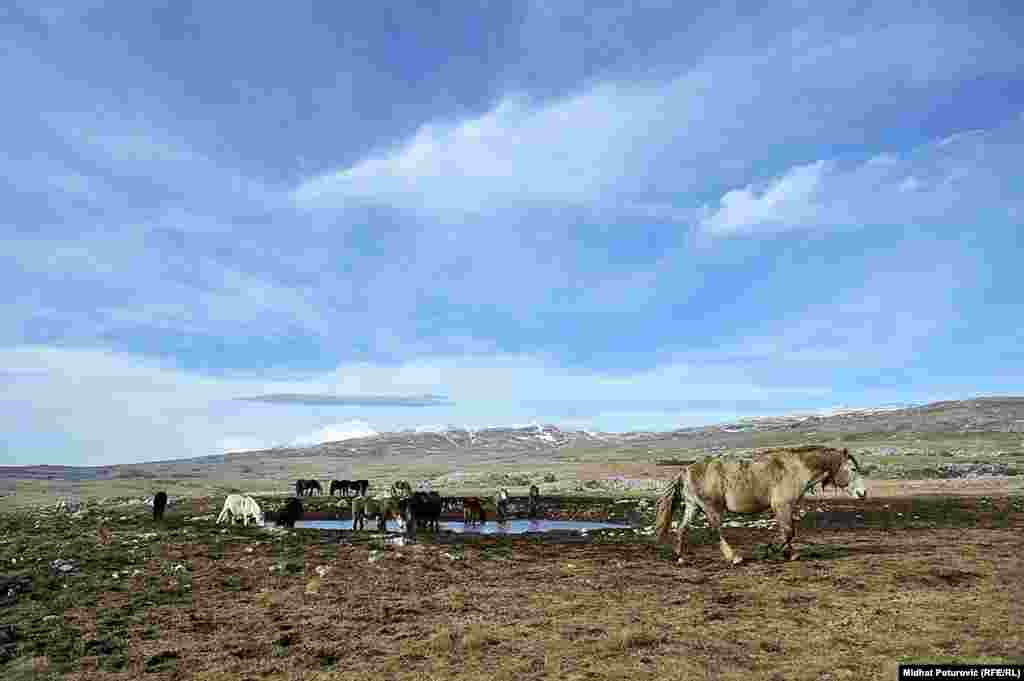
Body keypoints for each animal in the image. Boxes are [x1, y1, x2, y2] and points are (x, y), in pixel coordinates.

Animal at [655, 446, 864, 561]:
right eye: (853, 469)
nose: (863, 493)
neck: (796, 469)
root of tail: (685, 471)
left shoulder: (784, 507)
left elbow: (787, 531)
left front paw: (790, 554)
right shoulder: (782, 505)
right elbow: (788, 531)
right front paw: (771, 550)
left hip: (693, 507)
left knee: (681, 529)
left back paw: (680, 557)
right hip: (711, 508)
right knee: (715, 531)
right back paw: (734, 558)